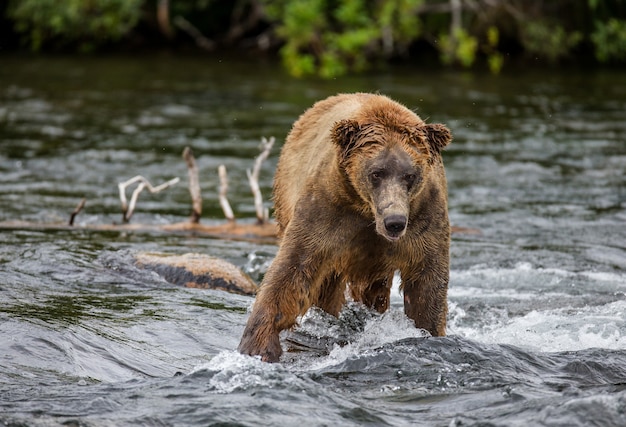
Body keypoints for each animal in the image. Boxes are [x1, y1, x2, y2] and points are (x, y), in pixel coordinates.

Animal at [235, 93, 448, 362]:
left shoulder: (425, 217)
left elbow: (427, 282)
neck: (366, 210)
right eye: (376, 172)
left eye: (410, 175)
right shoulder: (327, 209)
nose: (395, 222)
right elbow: (293, 270)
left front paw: (428, 332)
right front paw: (258, 345)